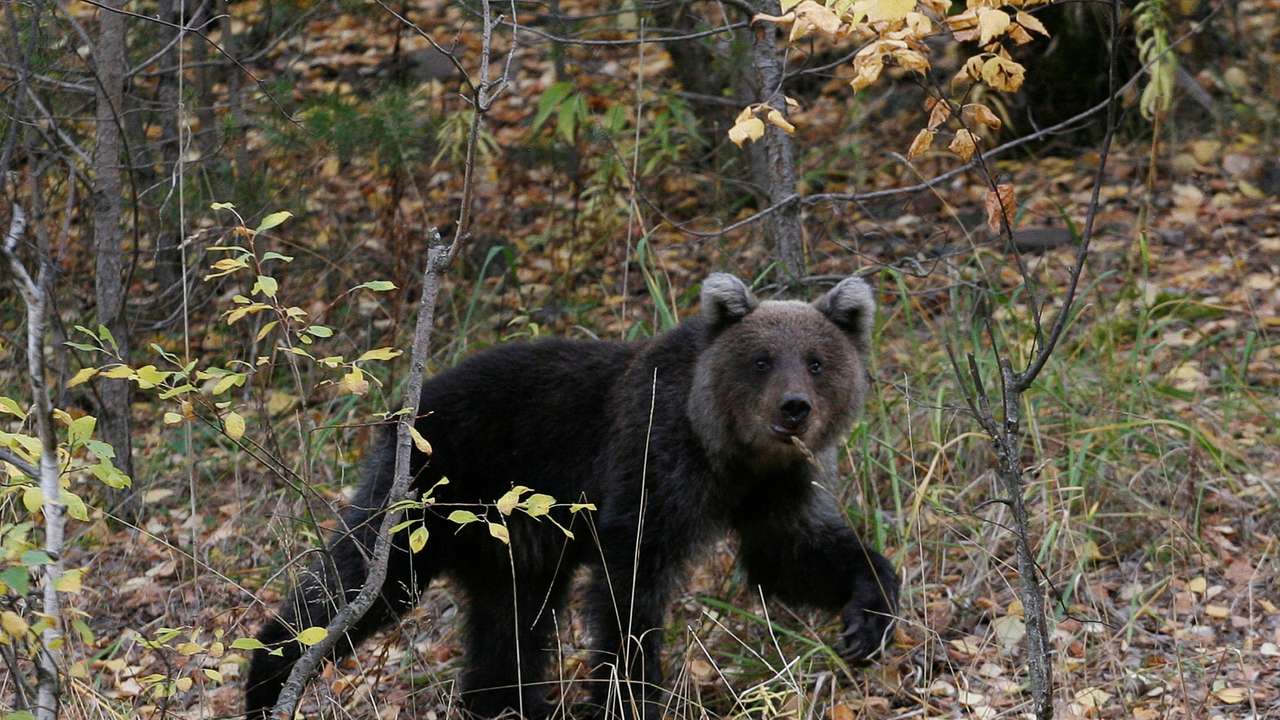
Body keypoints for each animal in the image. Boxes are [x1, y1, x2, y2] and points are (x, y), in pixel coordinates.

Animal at [244, 272, 898, 719]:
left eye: (816, 361)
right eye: (761, 360)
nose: (794, 409)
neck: (728, 452)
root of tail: (406, 408)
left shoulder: (773, 491)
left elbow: (793, 555)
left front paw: (867, 618)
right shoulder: (653, 461)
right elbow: (630, 587)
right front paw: (630, 691)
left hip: (510, 539)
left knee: (510, 624)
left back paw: (505, 703)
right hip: (429, 494)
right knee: (362, 581)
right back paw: (269, 675)